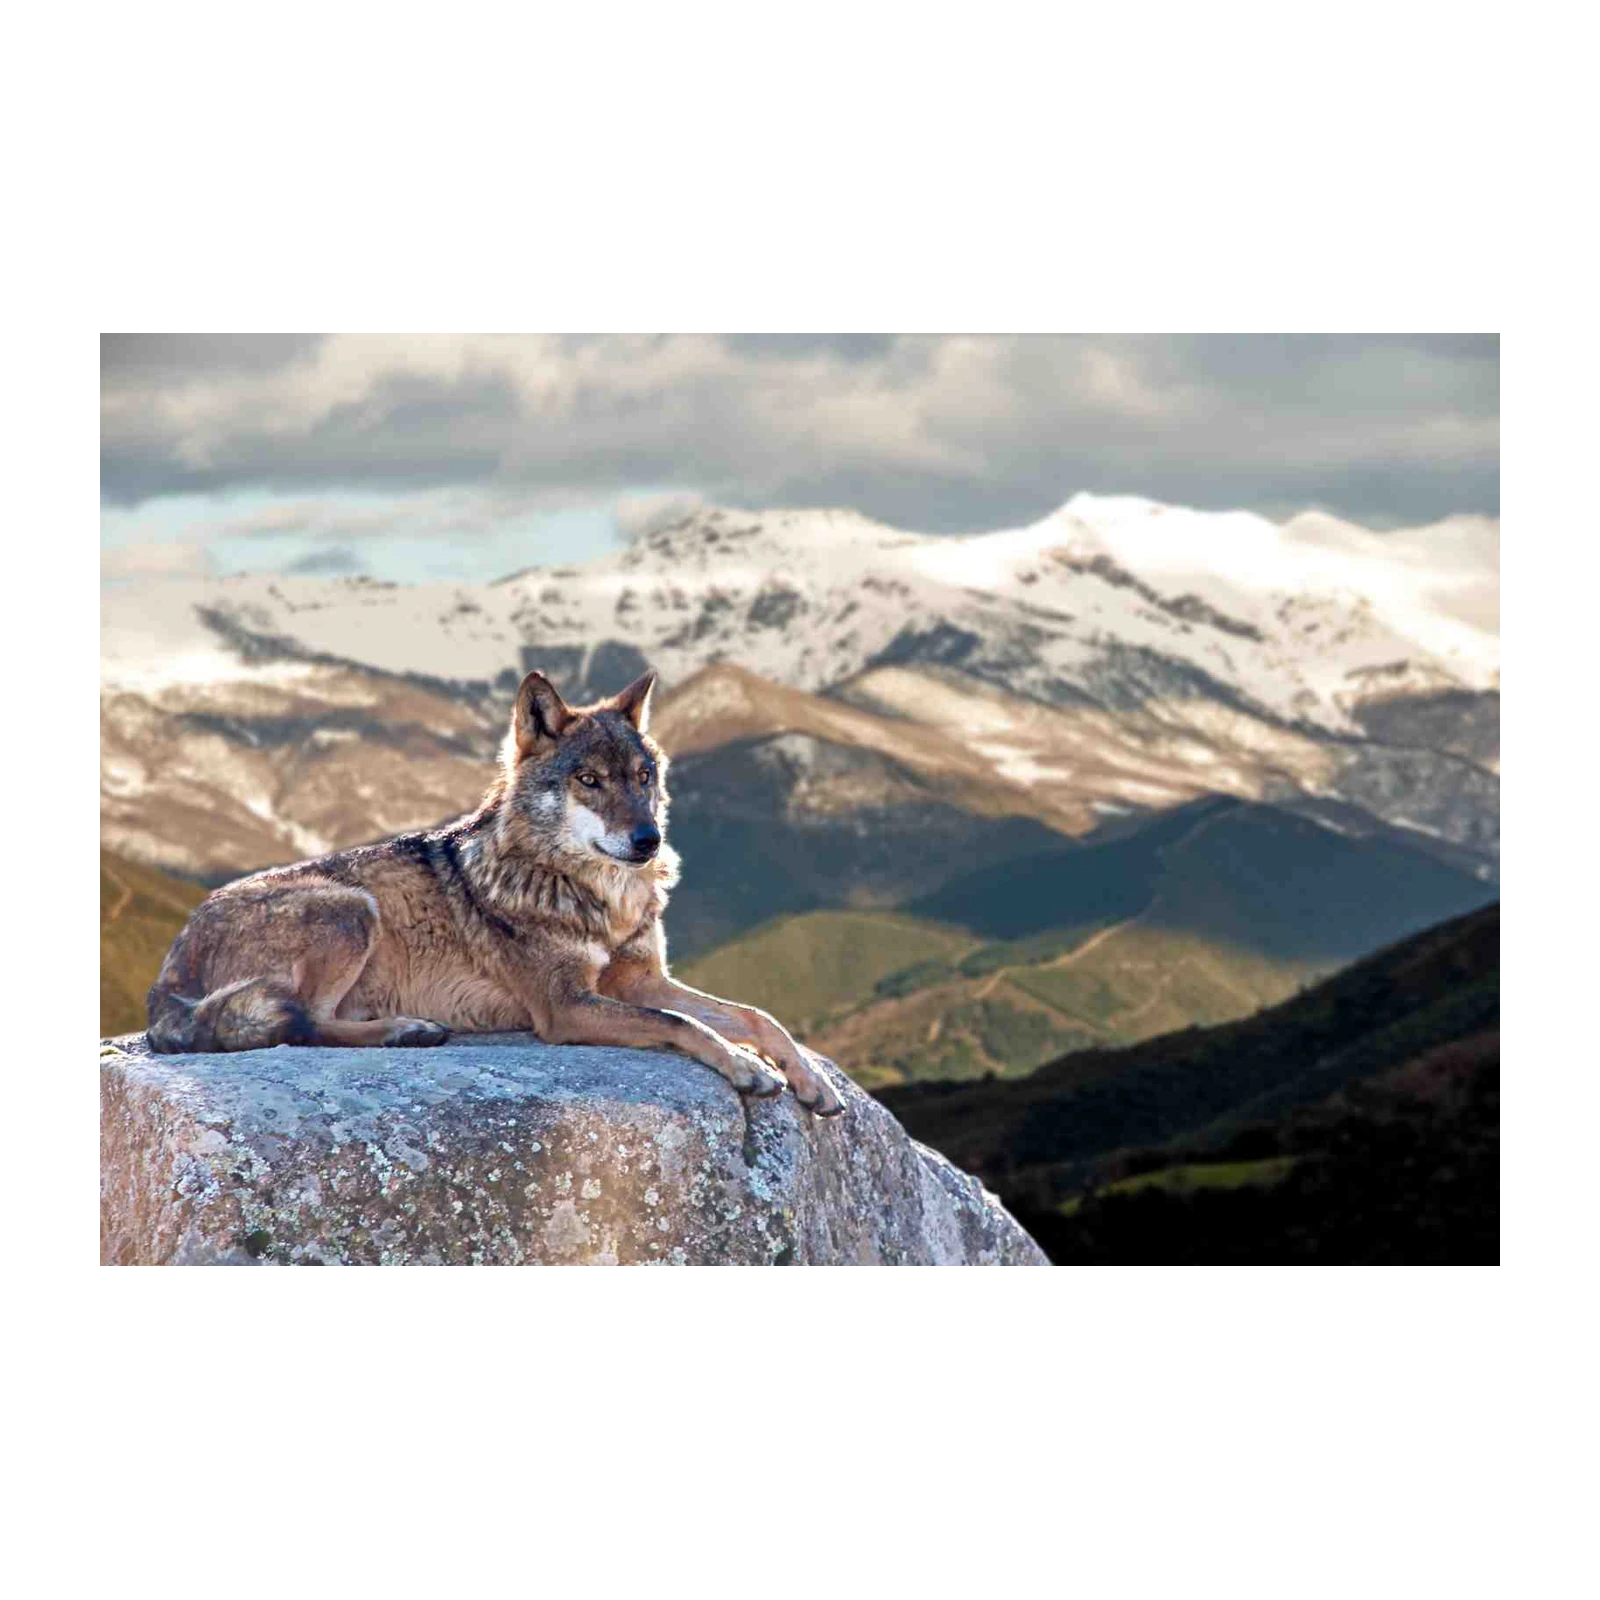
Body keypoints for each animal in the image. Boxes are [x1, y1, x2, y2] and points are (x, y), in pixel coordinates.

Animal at [146, 669, 844, 1116]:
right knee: (303, 1025)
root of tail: (165, 975)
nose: (648, 841)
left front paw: (810, 1082)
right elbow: (682, 1024)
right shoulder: (566, 1007)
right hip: (350, 909)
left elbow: (754, 1016)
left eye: (643, 776)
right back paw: (405, 1031)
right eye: (589, 780)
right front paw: (747, 1068)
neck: (597, 897)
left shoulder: (639, 980)